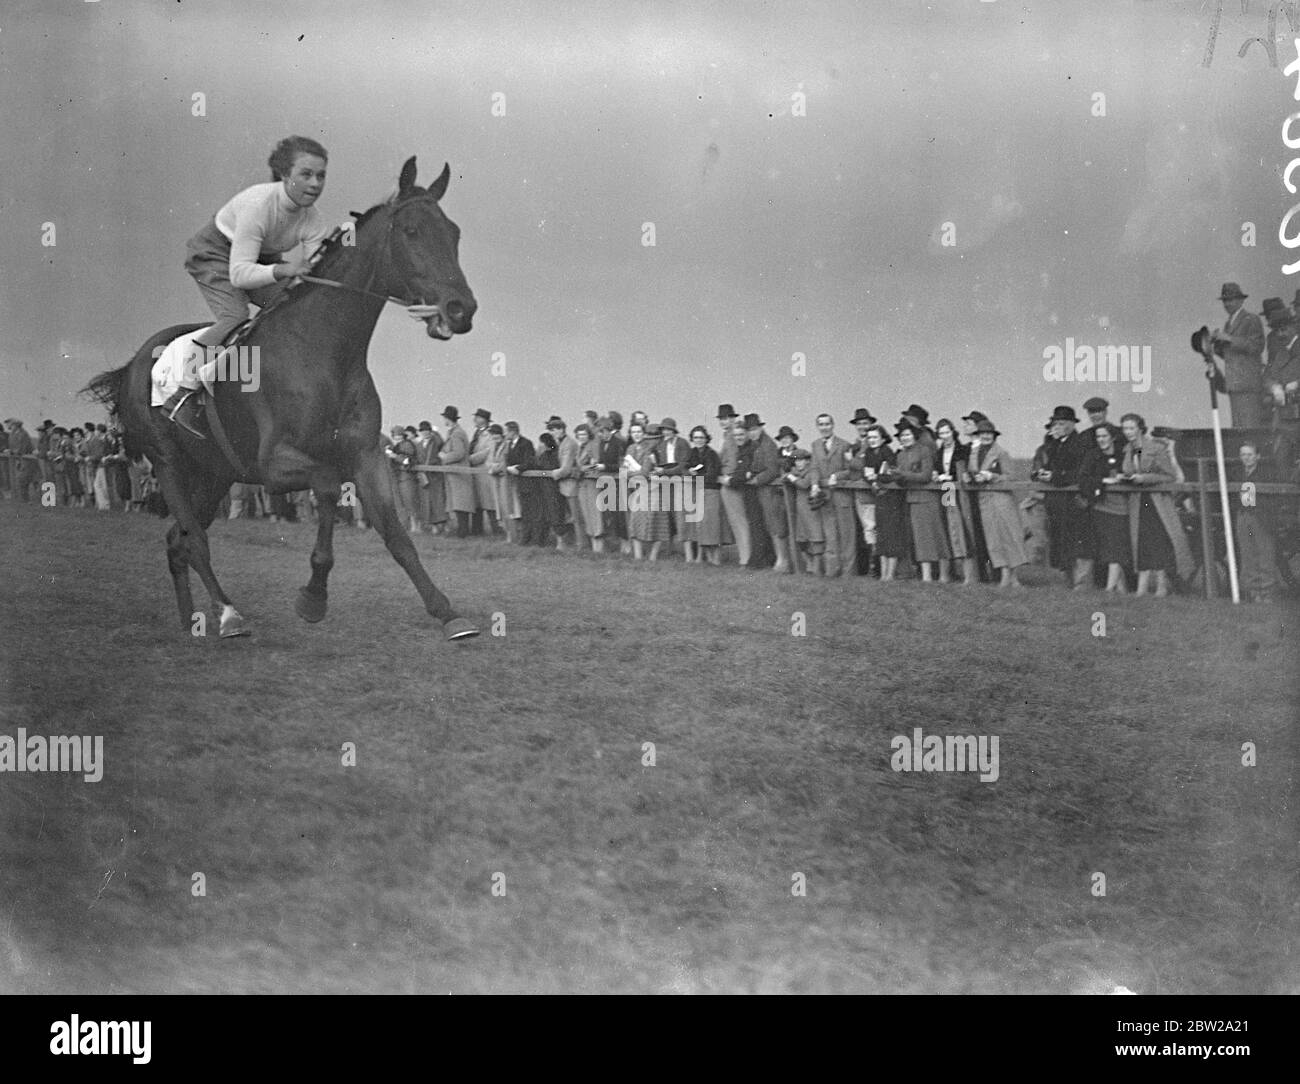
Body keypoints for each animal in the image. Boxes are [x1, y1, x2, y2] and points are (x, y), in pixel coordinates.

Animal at [87, 155, 483, 636]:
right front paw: (313, 597)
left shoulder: (367, 454)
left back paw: (190, 621)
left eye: (454, 233)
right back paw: (229, 614)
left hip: (214, 473)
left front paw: (447, 612)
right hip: (168, 464)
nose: (461, 309)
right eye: (411, 230)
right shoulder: (273, 463)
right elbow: (329, 485)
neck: (324, 352)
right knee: (194, 540)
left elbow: (395, 532)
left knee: (176, 540)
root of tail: (131, 366)